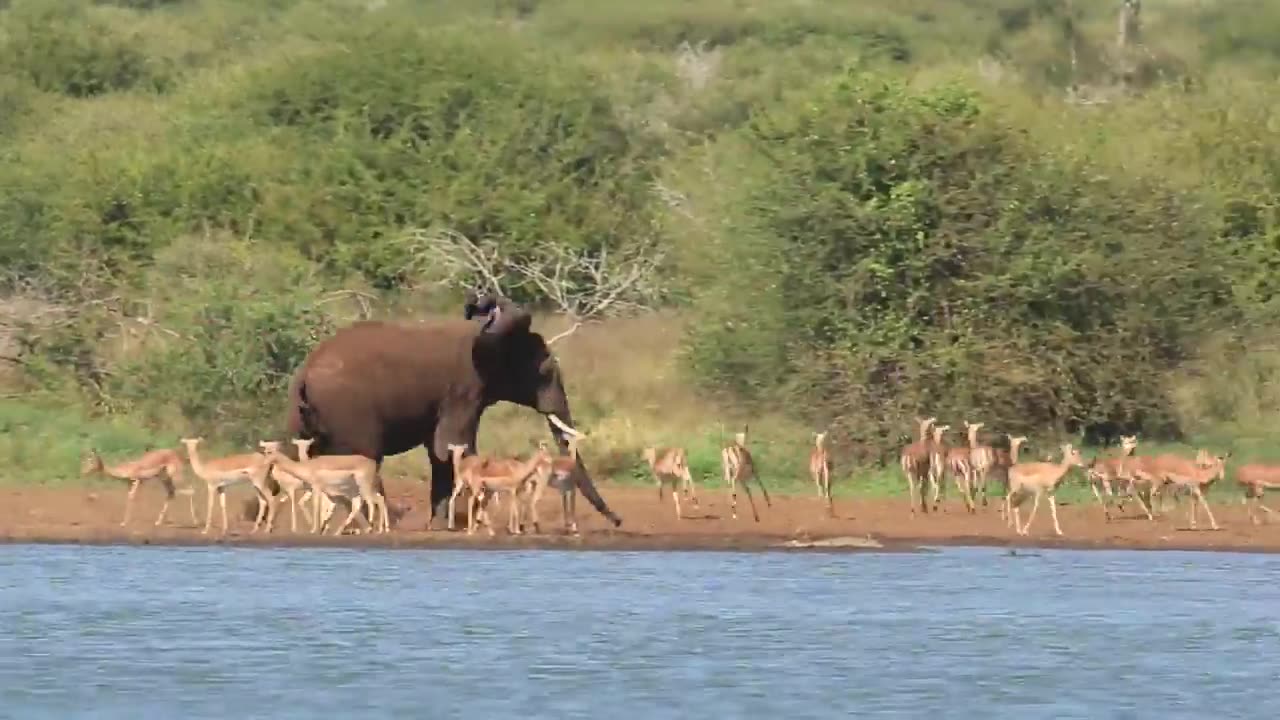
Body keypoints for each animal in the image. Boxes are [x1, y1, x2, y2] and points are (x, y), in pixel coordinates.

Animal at [281, 294, 624, 530]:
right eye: (545, 372)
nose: (618, 521)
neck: (486, 334)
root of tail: (304, 373)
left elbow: (441, 454)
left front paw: (440, 524)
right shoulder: (464, 387)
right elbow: (451, 447)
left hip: (304, 415)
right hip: (349, 410)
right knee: (365, 459)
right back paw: (385, 523)